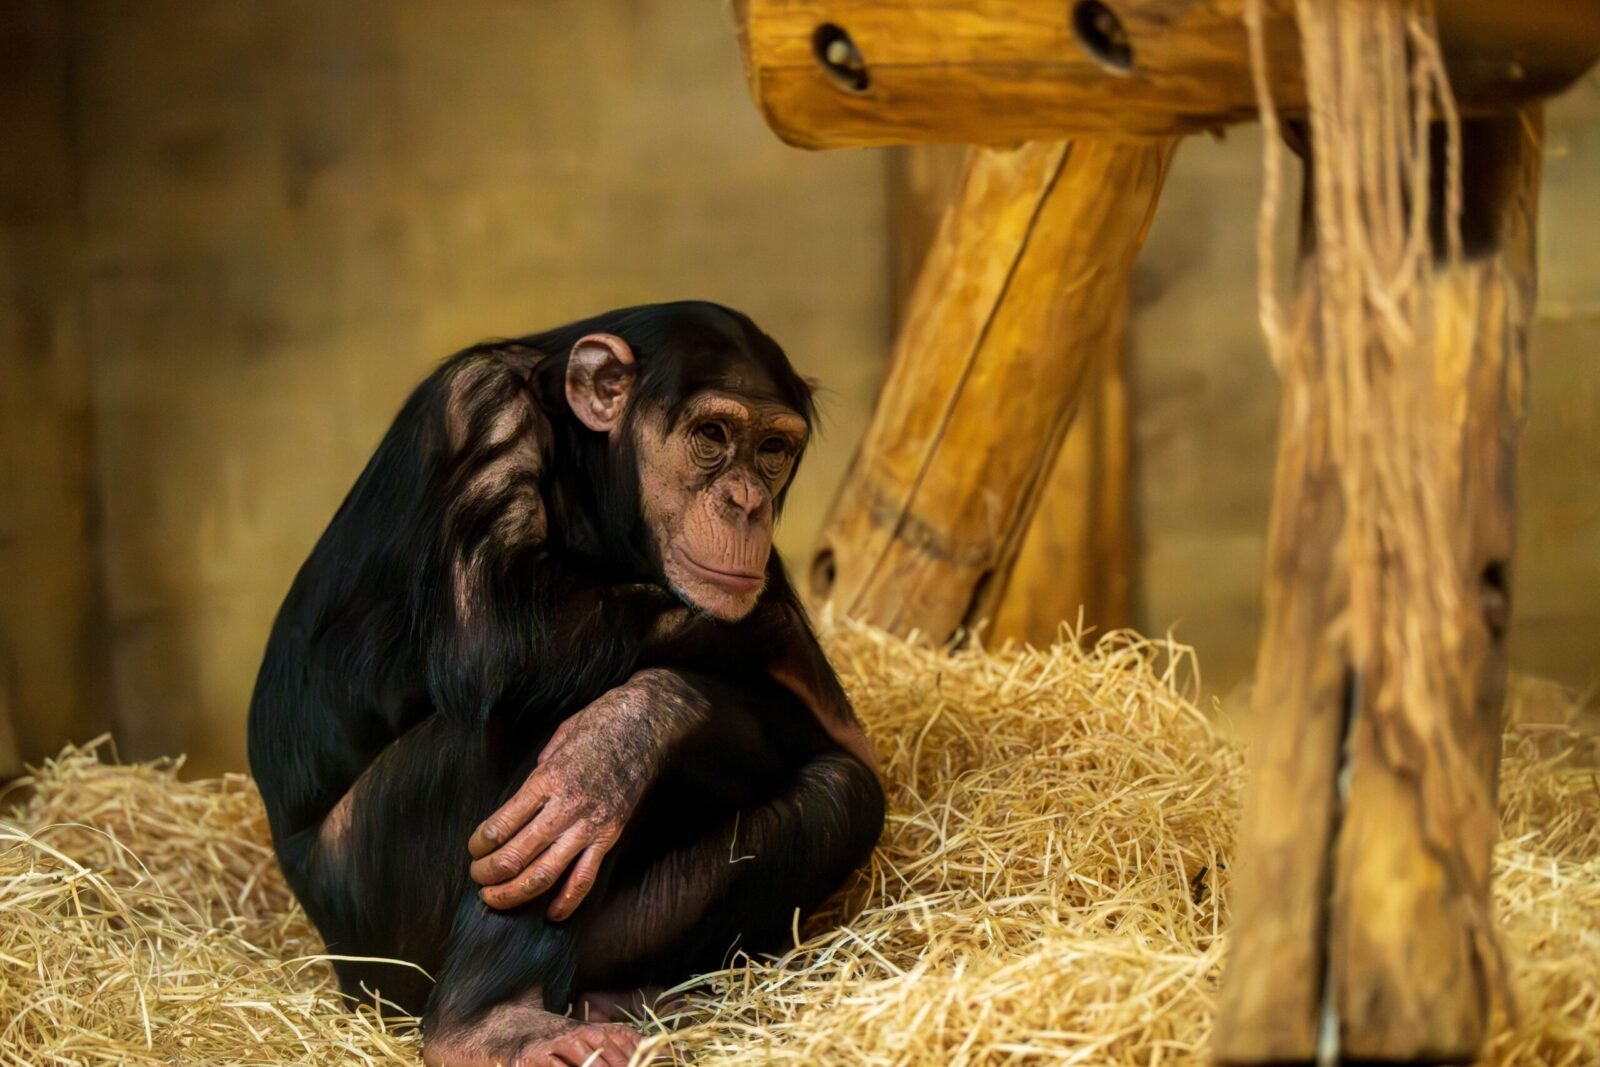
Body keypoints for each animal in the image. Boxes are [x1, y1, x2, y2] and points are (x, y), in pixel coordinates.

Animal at [248, 302, 884, 1067]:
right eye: (712, 435)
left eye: (772, 449)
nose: (747, 501)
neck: (592, 477)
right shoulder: (479, 410)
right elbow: (496, 632)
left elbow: (819, 741)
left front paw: (629, 737)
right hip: (371, 904)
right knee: (528, 710)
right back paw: (488, 1024)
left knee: (840, 794)